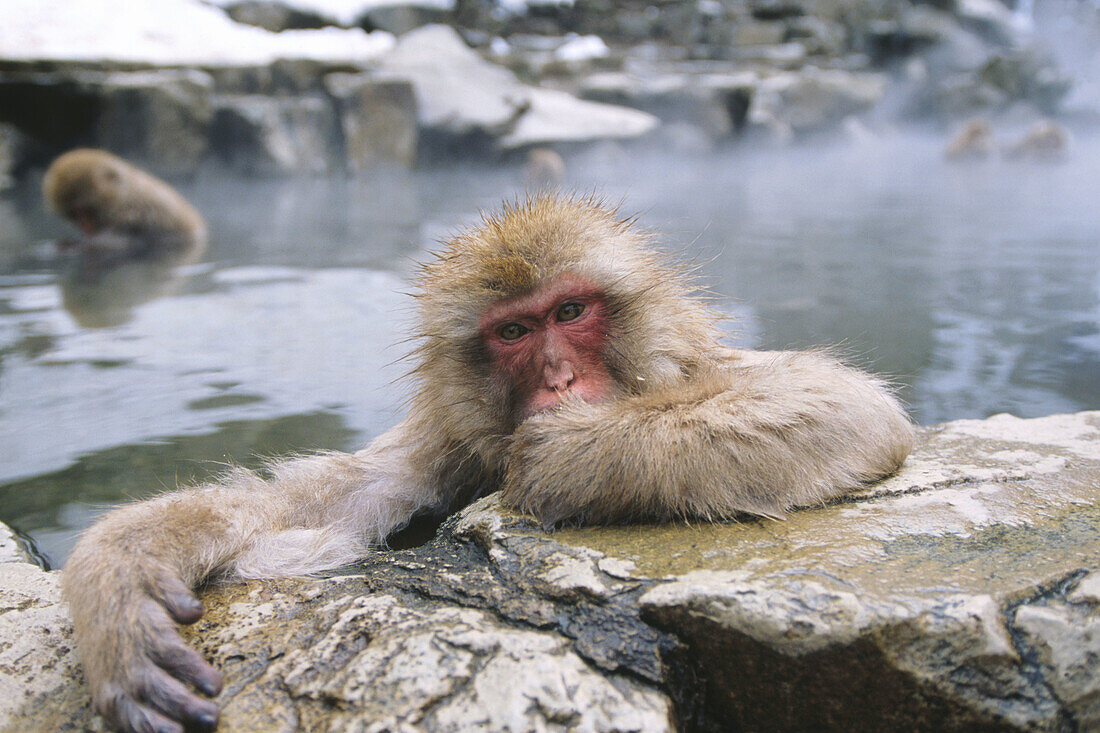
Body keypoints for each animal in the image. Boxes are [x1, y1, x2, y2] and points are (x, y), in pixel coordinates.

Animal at [64, 193, 915, 730]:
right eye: (513, 333)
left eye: (570, 311)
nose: (559, 380)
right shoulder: (441, 447)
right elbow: (309, 505)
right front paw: (123, 574)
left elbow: (844, 406)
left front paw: (573, 452)